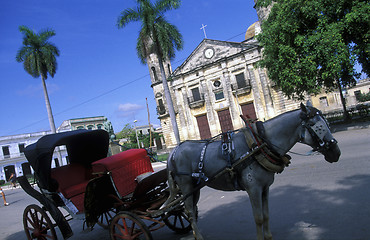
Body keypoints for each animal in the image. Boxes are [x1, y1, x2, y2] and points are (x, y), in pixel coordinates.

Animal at [165, 102, 342, 240]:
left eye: (327, 124)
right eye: (319, 127)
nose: (336, 153)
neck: (260, 144)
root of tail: (173, 152)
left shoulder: (265, 188)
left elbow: (266, 214)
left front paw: (268, 236)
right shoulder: (254, 189)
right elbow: (258, 218)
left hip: (195, 188)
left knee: (190, 211)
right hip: (186, 185)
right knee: (189, 210)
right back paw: (199, 237)